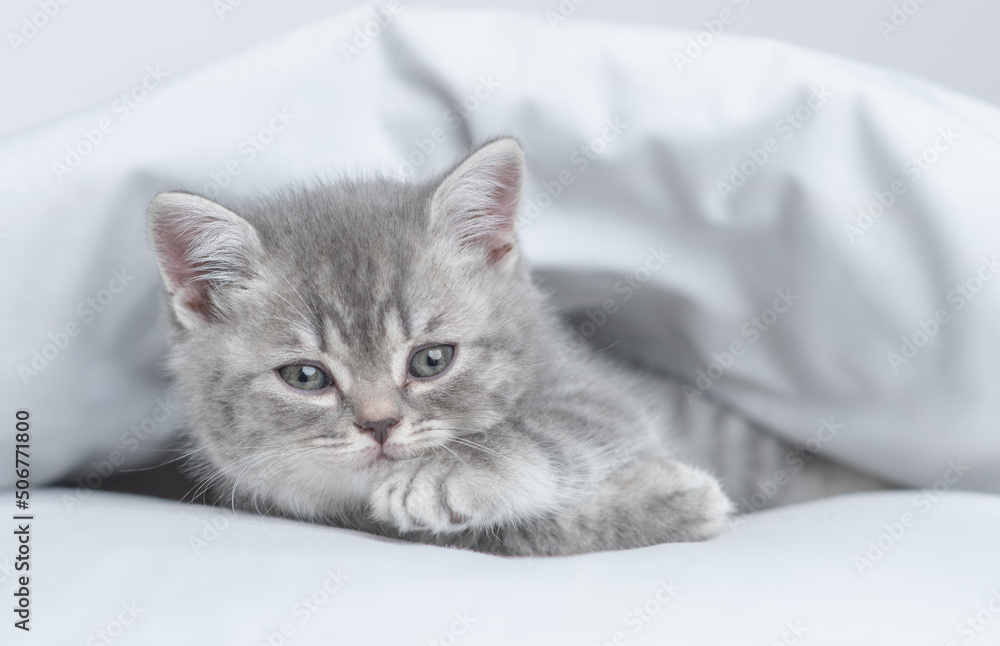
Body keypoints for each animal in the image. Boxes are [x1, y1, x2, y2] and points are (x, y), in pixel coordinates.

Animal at [145, 139, 872, 560]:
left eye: (431, 360)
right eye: (305, 377)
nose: (379, 424)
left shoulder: (598, 392)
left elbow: (553, 431)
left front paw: (447, 473)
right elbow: (513, 532)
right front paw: (673, 500)